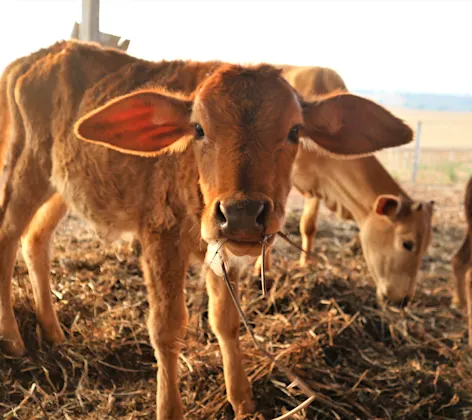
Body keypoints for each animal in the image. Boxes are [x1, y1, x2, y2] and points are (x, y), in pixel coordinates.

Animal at [0, 41, 412, 418]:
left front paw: (243, 400)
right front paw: (169, 408)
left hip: (61, 185)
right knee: (7, 236)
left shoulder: (223, 252)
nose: (242, 213)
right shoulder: (160, 235)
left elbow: (226, 320)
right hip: (25, 165)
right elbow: (166, 327)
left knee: (35, 240)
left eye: (295, 131)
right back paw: (13, 338)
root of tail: (28, 61)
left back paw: (53, 332)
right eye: (198, 128)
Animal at [256, 66, 434, 308]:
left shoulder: (318, 185)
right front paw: (261, 269)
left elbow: (308, 225)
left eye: (426, 246)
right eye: (407, 243)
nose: (403, 300)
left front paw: (305, 265)